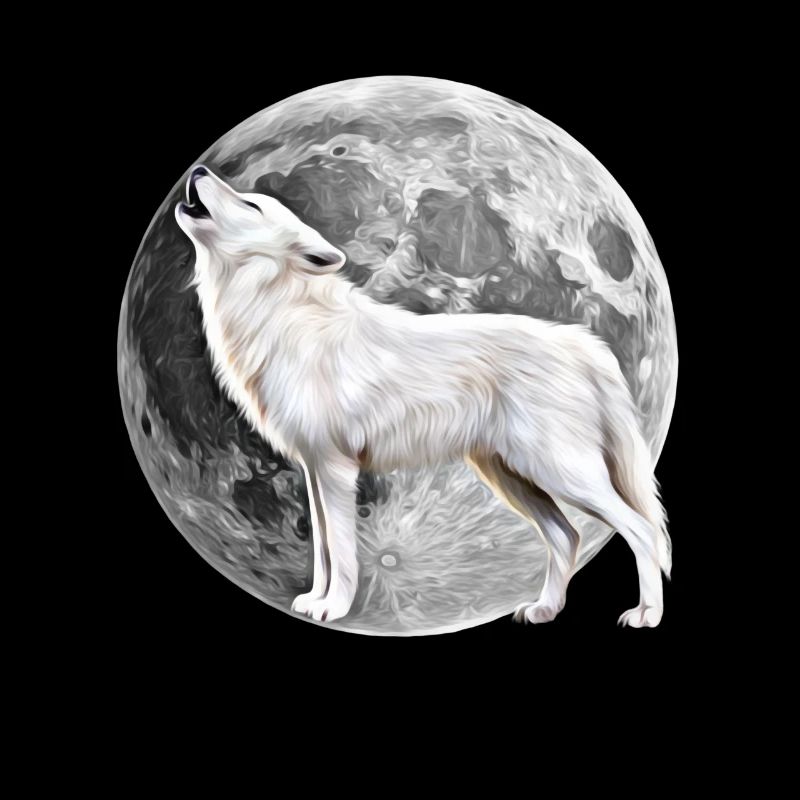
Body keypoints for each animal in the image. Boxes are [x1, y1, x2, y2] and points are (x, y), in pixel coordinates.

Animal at [175, 165, 671, 627]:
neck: (282, 315)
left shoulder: (335, 469)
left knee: (642, 530)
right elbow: (323, 552)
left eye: (251, 204)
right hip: (513, 476)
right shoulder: (314, 470)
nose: (198, 170)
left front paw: (333, 608)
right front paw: (315, 600)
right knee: (567, 536)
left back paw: (646, 614)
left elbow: (342, 551)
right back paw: (545, 609)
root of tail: (588, 347)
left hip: (562, 472)